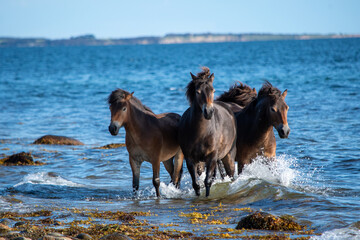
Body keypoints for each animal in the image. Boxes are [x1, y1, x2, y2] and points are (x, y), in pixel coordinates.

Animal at [178, 67, 239, 197]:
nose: (209, 112)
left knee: (230, 175)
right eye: (197, 92)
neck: (201, 133)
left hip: (228, 156)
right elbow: (196, 184)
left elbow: (207, 182)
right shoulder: (191, 159)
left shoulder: (211, 158)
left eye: (213, 90)